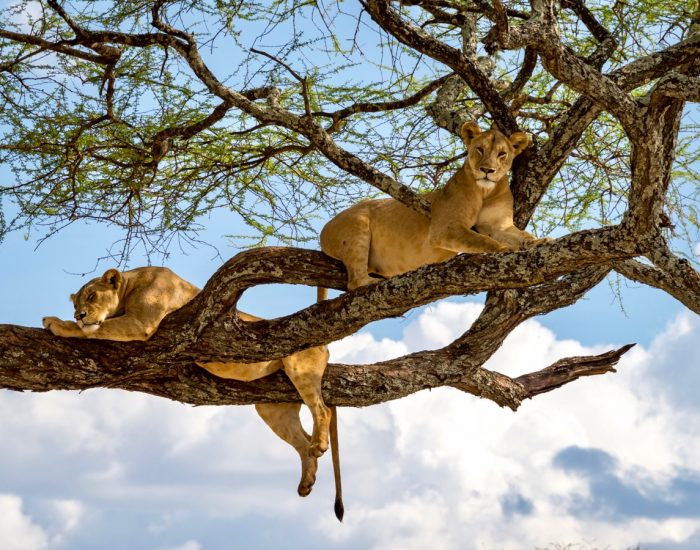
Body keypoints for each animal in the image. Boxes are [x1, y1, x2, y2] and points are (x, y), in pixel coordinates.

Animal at [42, 266, 344, 520]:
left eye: (92, 296)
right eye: (75, 303)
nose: (79, 315)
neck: (130, 285)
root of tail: (326, 344)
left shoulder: (141, 322)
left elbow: (96, 329)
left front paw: (58, 324)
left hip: (300, 369)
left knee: (322, 410)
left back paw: (319, 445)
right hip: (273, 408)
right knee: (301, 441)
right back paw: (306, 481)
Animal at [320, 121, 549, 289]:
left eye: (502, 154)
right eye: (479, 149)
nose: (487, 170)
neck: (486, 191)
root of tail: (324, 229)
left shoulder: (498, 225)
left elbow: (522, 236)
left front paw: (540, 241)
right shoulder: (444, 228)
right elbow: (483, 239)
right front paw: (503, 249)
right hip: (357, 228)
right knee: (355, 282)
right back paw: (374, 282)